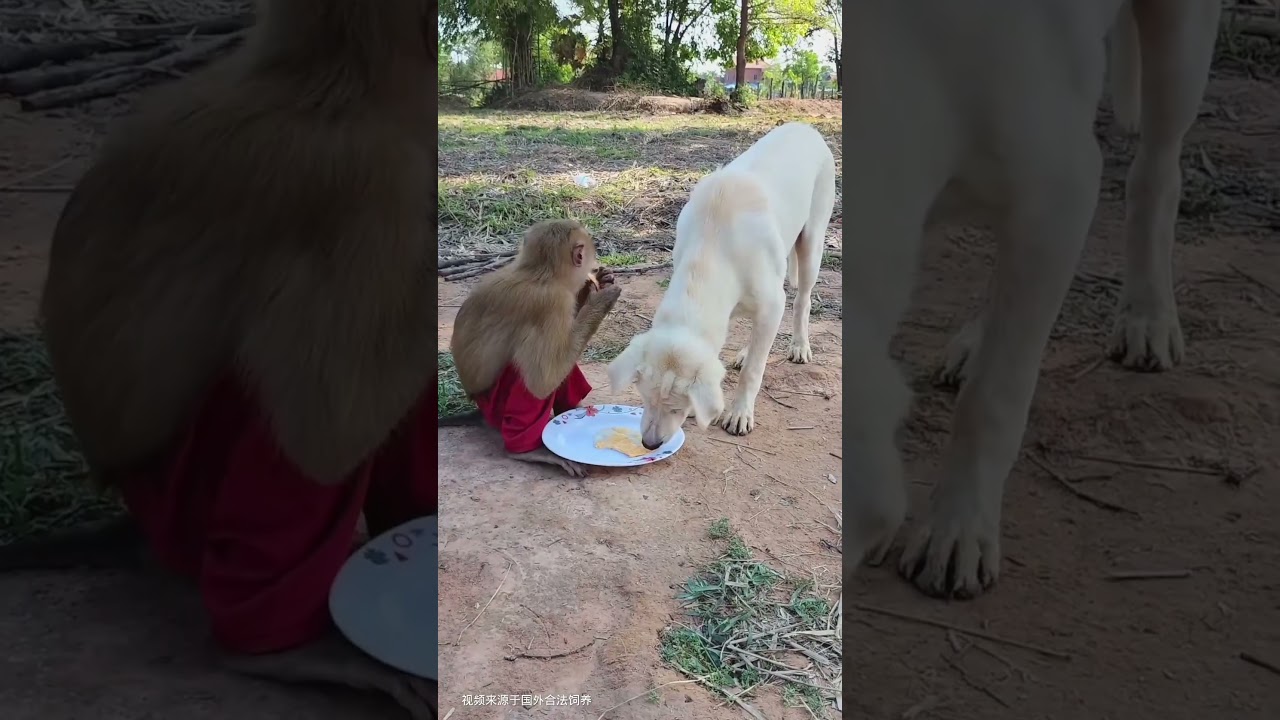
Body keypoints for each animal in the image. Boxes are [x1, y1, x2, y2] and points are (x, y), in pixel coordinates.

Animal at [447, 219, 622, 478]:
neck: (539, 273)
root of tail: (476, 401)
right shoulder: (553, 304)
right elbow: (543, 381)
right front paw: (599, 300)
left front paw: (595, 284)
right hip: (496, 405)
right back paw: (529, 449)